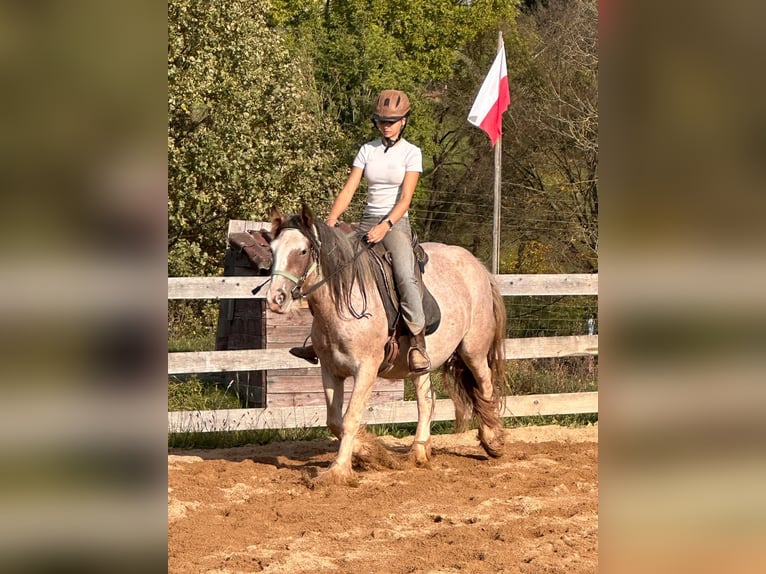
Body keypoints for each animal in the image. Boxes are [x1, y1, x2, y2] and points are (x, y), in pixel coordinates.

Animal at [268, 207, 508, 486]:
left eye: (303, 251)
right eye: (272, 250)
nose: (276, 299)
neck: (345, 301)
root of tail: (477, 265)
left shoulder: (366, 370)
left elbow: (350, 419)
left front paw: (338, 470)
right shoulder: (330, 370)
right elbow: (334, 421)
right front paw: (370, 452)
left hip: (473, 350)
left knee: (485, 386)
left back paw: (492, 441)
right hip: (422, 362)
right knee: (427, 400)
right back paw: (419, 451)